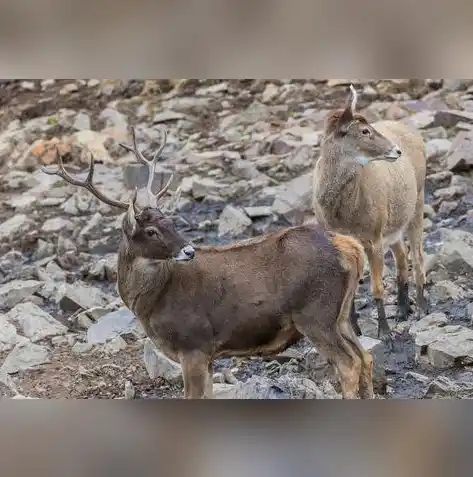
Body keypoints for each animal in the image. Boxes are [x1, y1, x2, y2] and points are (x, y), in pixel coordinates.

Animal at [41, 126, 372, 398]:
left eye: (170, 222)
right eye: (151, 230)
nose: (189, 251)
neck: (152, 303)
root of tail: (351, 247)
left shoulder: (194, 345)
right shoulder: (207, 355)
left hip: (315, 313)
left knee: (349, 364)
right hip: (341, 315)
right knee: (366, 357)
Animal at [312, 83, 426, 340]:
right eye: (364, 131)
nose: (396, 151)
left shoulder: (373, 236)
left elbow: (376, 286)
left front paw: (385, 333)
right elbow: (351, 289)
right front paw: (355, 330)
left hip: (419, 199)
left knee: (417, 254)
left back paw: (423, 307)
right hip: (393, 222)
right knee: (402, 255)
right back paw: (402, 309)